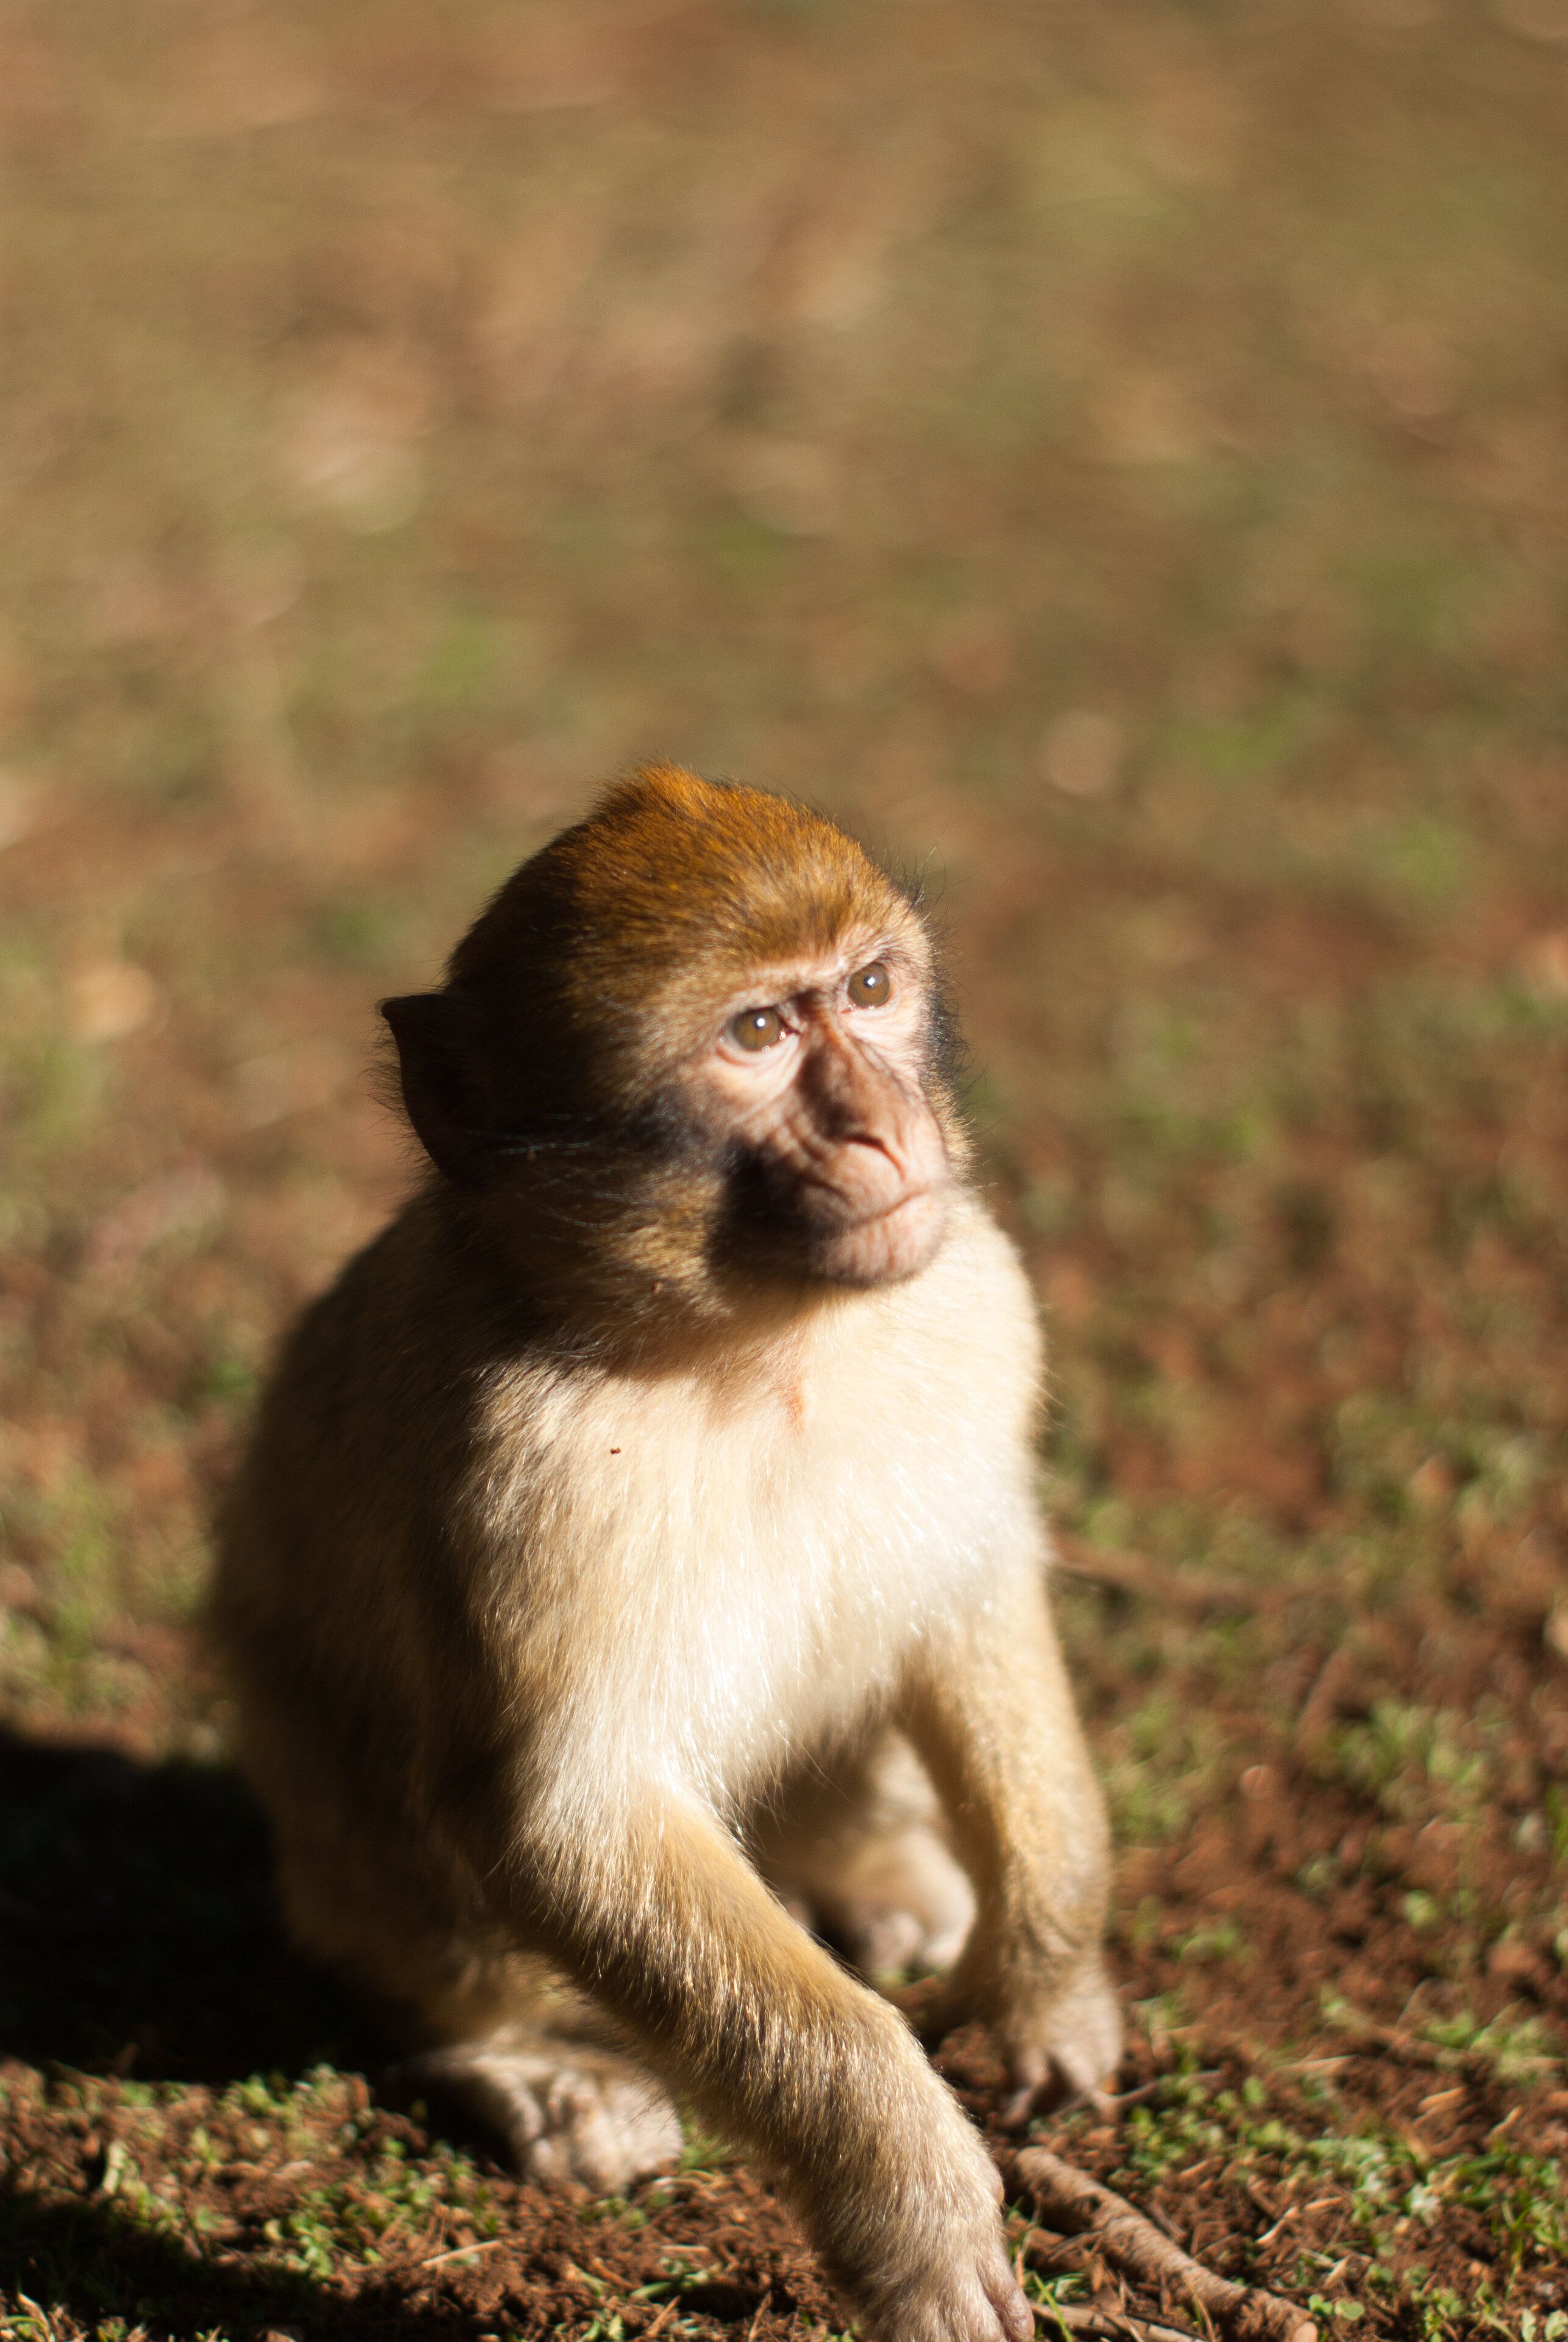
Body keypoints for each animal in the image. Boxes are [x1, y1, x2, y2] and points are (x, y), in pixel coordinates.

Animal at [211, 763, 1120, 2342]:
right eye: (755, 1035)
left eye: (867, 990)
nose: (883, 1128)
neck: (771, 1340)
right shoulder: (525, 1458)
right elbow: (566, 1817)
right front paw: (908, 2192)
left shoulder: (976, 1297)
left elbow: (973, 1593)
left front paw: (1048, 1980)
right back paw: (518, 2055)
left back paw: (884, 1876)